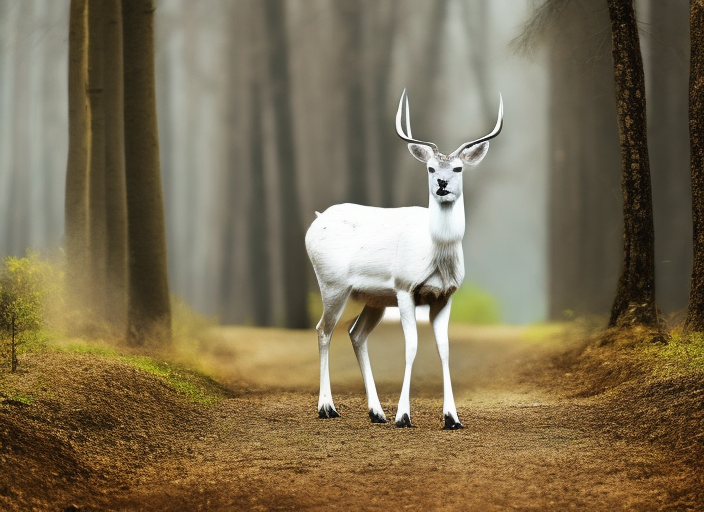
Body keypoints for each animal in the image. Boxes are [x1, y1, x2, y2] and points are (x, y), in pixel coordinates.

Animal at [304, 89, 500, 428]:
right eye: (431, 168)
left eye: (458, 169)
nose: (442, 185)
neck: (435, 258)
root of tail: (316, 221)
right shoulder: (405, 288)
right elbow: (411, 346)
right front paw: (404, 415)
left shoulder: (445, 295)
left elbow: (444, 349)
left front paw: (452, 417)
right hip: (332, 284)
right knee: (323, 330)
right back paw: (327, 408)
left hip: (375, 298)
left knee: (355, 334)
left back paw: (376, 412)